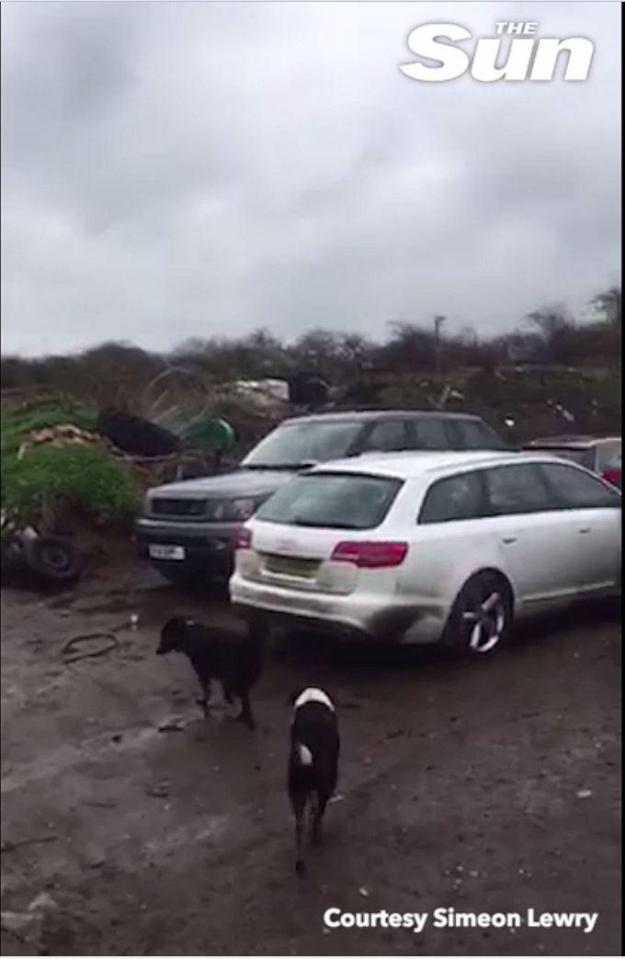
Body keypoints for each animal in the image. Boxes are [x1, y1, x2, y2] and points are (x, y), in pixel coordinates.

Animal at [286, 688, 338, 876]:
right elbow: (317, 812)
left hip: (296, 792)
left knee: (299, 827)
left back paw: (299, 865)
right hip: (325, 785)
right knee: (317, 815)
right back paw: (316, 836)